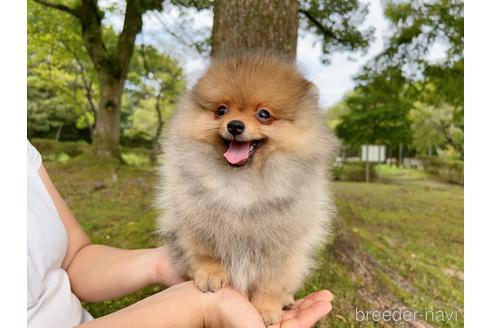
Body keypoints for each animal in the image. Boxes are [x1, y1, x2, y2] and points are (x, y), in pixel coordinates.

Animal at [157, 53, 338, 326]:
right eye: (221, 110)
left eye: (263, 114)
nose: (234, 125)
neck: (242, 181)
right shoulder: (196, 223)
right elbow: (205, 254)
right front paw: (210, 275)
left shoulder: (280, 247)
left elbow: (270, 284)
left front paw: (266, 309)